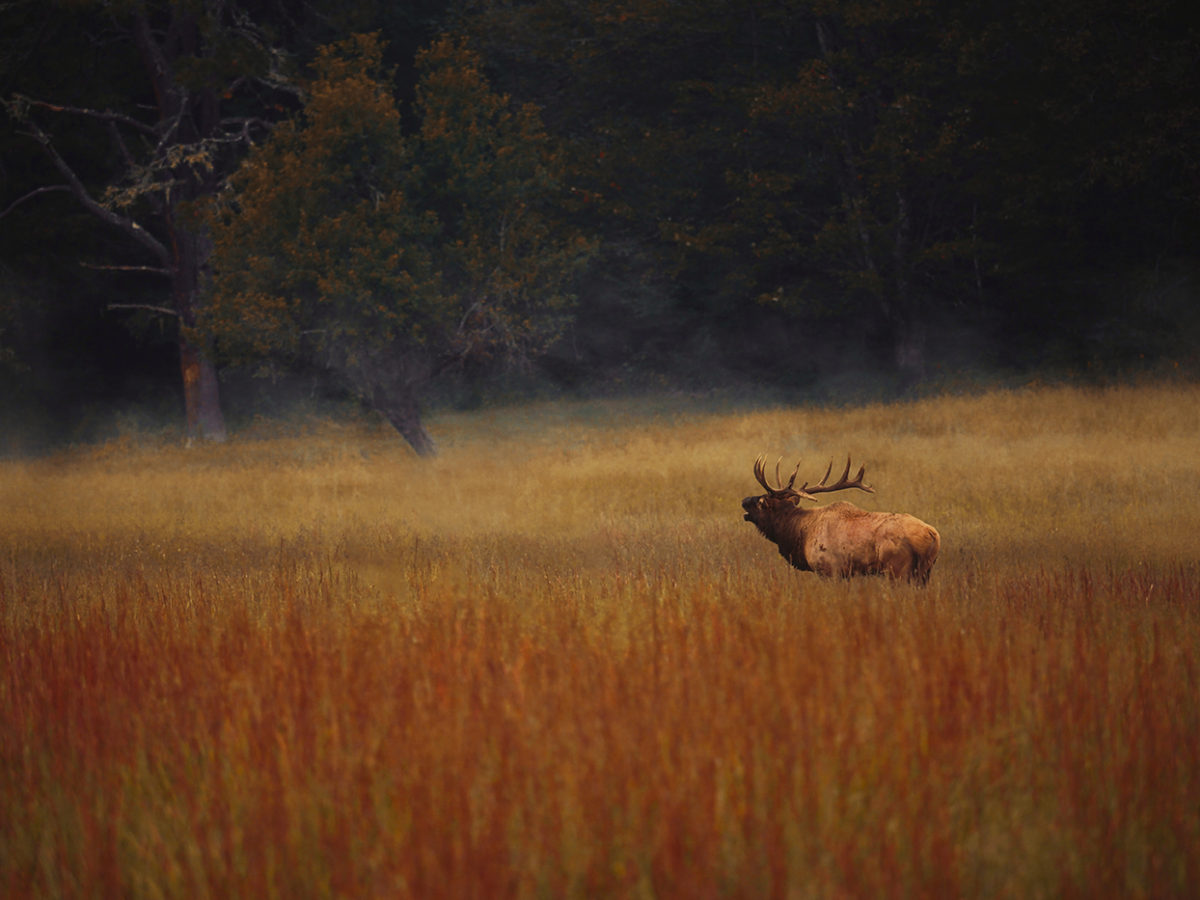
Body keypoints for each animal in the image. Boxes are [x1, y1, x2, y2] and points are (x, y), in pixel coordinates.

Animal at [734, 458, 940, 585]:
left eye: (760, 501)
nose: (744, 499)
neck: (800, 534)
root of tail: (932, 535)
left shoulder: (829, 570)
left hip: (898, 569)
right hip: (926, 572)